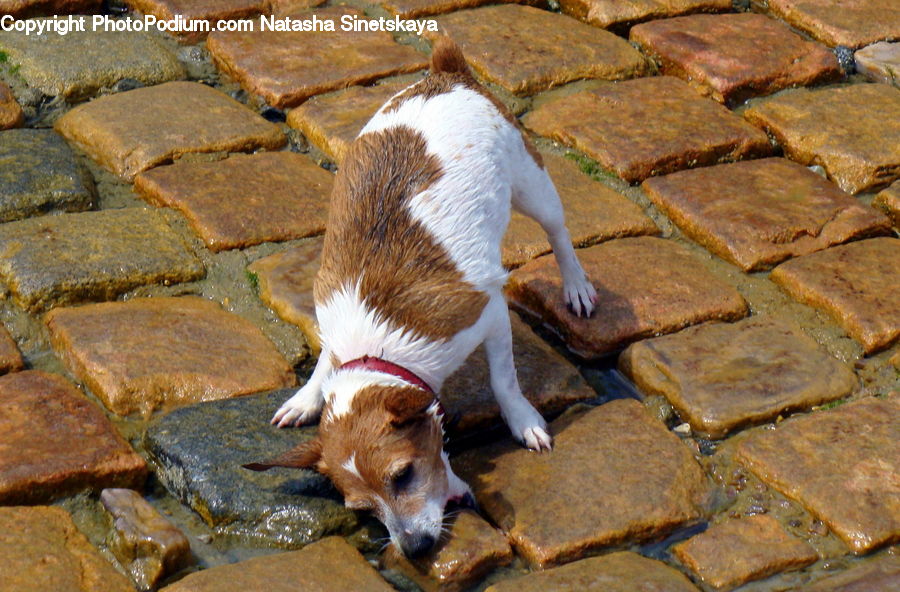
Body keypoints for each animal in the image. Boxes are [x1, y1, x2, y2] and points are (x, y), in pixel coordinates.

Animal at [246, 38, 596, 560]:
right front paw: (308, 395)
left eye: (404, 474)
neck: (376, 346)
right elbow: (324, 361)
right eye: (363, 510)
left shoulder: (489, 314)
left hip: (533, 187)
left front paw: (522, 419)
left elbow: (504, 379)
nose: (413, 549)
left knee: (559, 232)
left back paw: (575, 285)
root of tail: (444, 73)